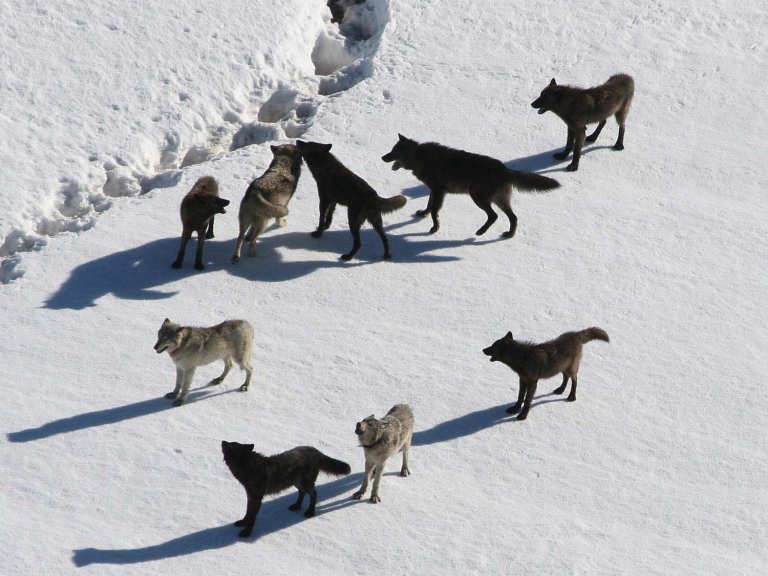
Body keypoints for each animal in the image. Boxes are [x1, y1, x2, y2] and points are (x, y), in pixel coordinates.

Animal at [221, 440, 351, 537]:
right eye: (232, 442)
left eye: (230, 446)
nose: (222, 441)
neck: (250, 468)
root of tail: (316, 451)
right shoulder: (250, 496)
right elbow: (248, 513)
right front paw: (243, 523)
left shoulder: (256, 498)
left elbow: (252, 516)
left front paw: (247, 532)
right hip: (296, 482)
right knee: (302, 493)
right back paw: (296, 506)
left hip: (304, 483)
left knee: (314, 494)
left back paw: (310, 512)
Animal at [381, 134, 560, 237]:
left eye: (393, 152)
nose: (382, 157)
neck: (418, 156)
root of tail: (503, 168)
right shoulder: (434, 190)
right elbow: (429, 206)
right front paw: (423, 214)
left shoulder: (439, 191)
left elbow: (434, 211)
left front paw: (434, 228)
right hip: (499, 200)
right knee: (513, 217)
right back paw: (509, 234)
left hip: (478, 197)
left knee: (494, 216)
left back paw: (481, 232)